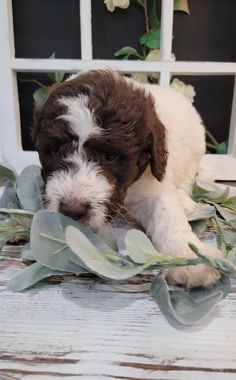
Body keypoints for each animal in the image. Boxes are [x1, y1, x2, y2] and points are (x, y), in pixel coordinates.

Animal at [31, 69, 223, 288]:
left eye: (110, 156)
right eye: (54, 152)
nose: (72, 210)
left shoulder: (153, 184)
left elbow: (168, 217)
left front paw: (191, 258)